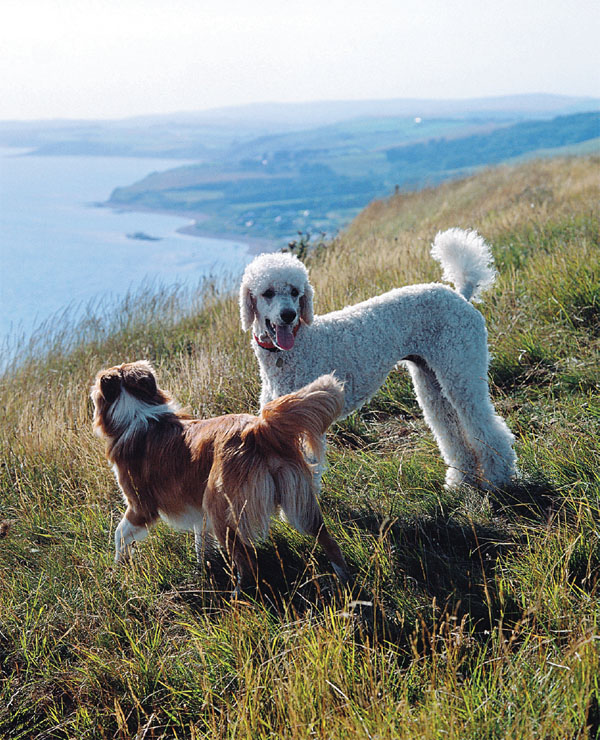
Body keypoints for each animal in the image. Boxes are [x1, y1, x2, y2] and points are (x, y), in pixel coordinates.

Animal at [91, 362, 350, 592]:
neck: (136, 413)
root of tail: (257, 430)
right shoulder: (198, 512)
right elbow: (200, 543)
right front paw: (202, 569)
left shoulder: (140, 507)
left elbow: (119, 534)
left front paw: (118, 566)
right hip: (297, 500)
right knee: (326, 538)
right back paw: (342, 577)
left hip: (221, 510)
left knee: (248, 563)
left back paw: (239, 597)